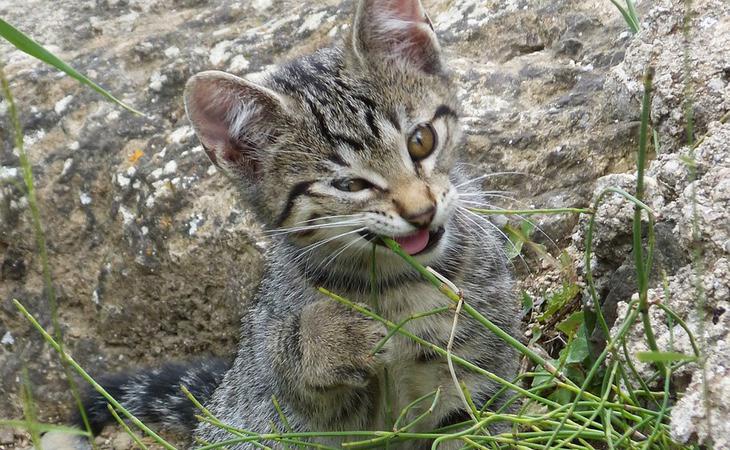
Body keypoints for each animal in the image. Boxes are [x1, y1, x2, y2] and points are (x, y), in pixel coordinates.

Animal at [41, 0, 516, 450]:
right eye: (348, 184)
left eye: (421, 140)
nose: (421, 212)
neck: (398, 285)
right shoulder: (291, 404)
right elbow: (285, 365)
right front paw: (331, 335)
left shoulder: (481, 374)